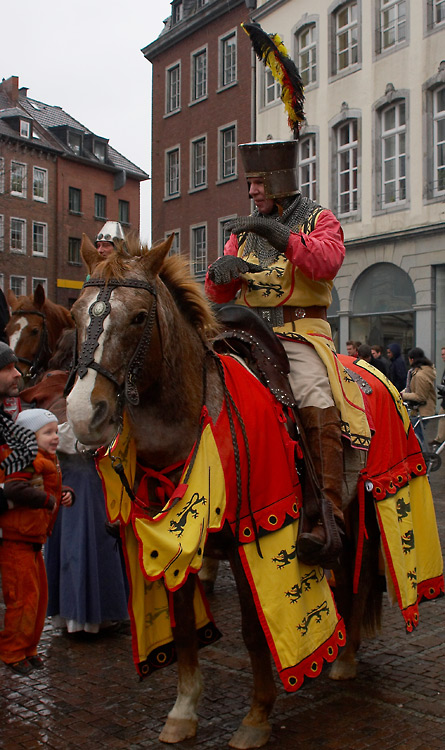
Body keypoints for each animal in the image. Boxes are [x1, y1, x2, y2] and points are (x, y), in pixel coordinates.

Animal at [64, 232, 442, 748]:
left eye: (140, 317)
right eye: (75, 313)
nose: (85, 414)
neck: (194, 421)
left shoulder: (254, 536)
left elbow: (252, 630)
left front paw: (257, 716)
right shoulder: (172, 546)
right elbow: (184, 626)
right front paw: (183, 710)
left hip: (374, 495)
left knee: (359, 577)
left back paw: (344, 660)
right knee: (348, 572)